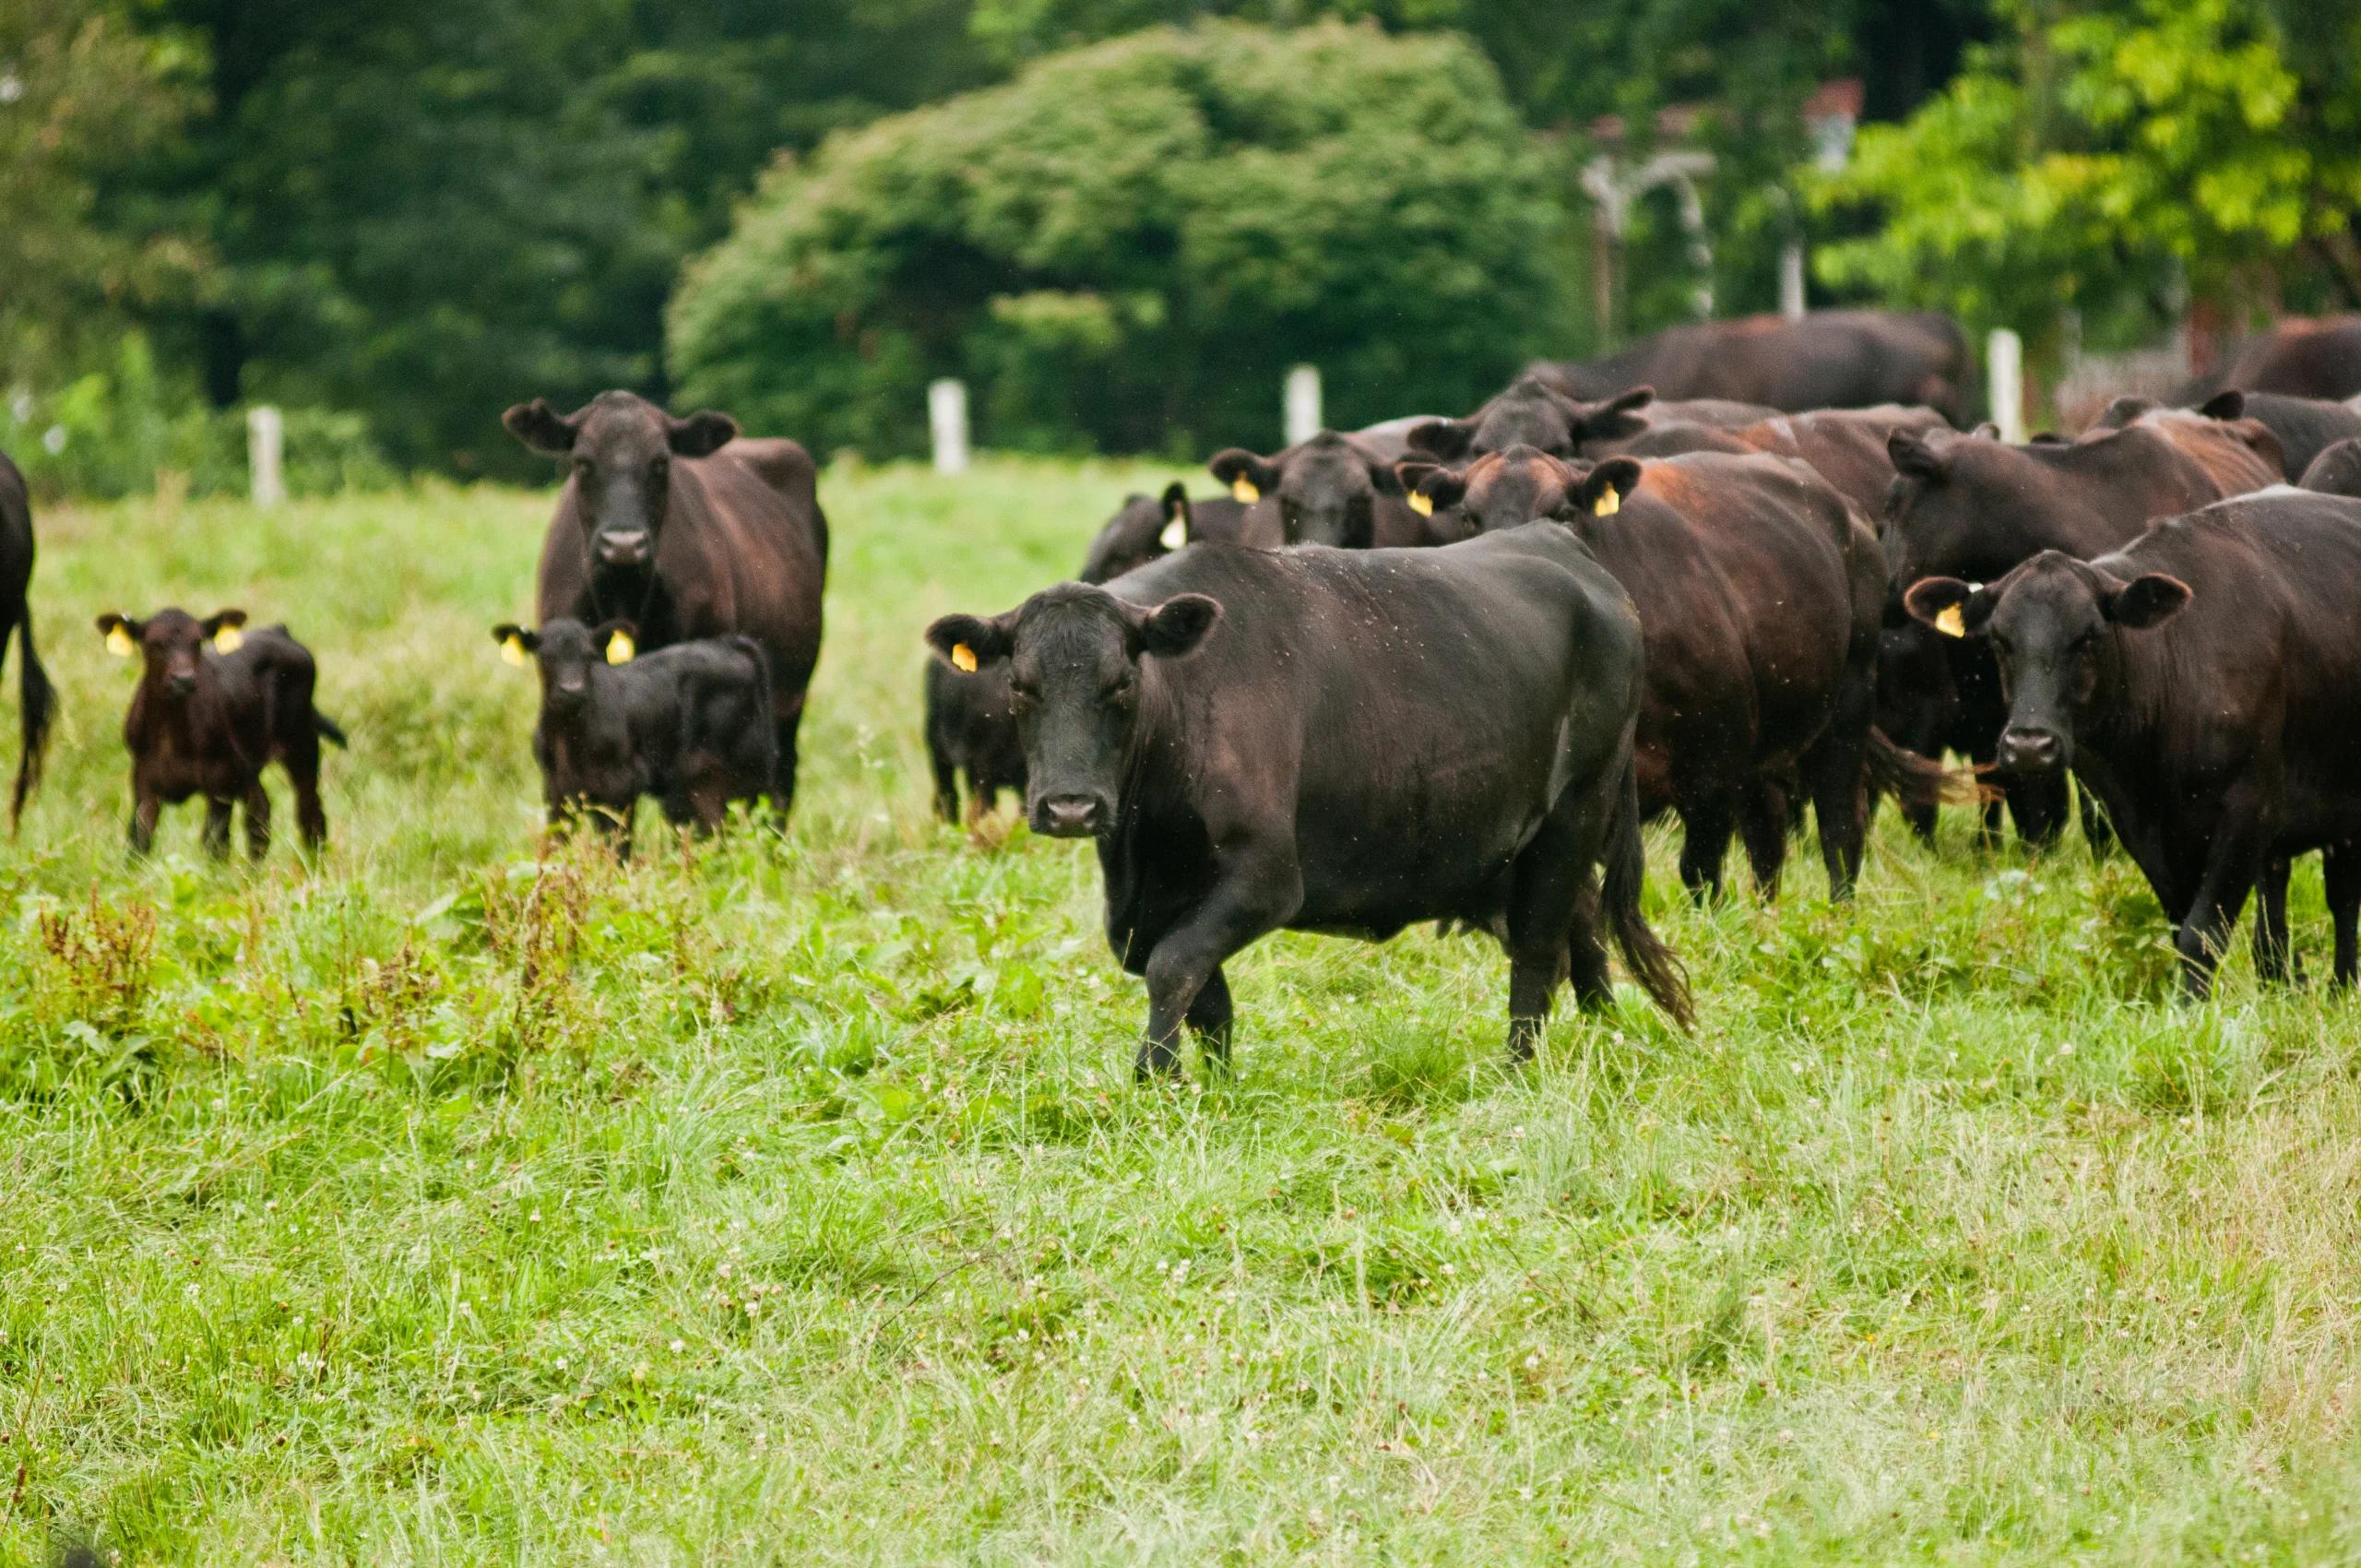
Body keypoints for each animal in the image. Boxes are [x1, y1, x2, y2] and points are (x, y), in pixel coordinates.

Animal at [94, 607, 345, 859]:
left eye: (197, 642)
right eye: (154, 643)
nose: (183, 679)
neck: (171, 735)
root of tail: (277, 631)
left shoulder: (221, 782)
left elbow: (215, 843)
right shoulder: (143, 780)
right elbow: (138, 841)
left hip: (301, 742)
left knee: (310, 811)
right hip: (249, 765)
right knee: (260, 812)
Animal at [493, 617, 775, 855]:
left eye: (589, 656)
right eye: (545, 656)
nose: (571, 690)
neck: (568, 739)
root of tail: (729, 644)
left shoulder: (621, 787)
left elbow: (617, 851)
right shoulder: (556, 792)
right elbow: (555, 846)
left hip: (739, 774)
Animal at [923, 529, 1694, 1074]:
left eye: (1122, 684)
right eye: (1020, 686)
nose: (1072, 808)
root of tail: (1562, 546)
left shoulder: (1268, 877)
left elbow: (1174, 967)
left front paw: (1154, 1077)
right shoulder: (1151, 899)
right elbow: (1203, 993)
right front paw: (1216, 1088)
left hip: (1577, 809)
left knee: (1538, 948)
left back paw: (1518, 1070)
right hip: (1513, 843)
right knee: (1581, 932)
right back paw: (1604, 1038)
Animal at [1393, 446, 1965, 899]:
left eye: (1562, 512)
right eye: (1469, 518)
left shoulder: (1714, 765)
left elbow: (1700, 873)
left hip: (1848, 700)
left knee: (1840, 827)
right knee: (1769, 836)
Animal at [1901, 490, 2361, 996]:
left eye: (2088, 638)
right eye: (2000, 641)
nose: (2029, 746)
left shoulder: (2248, 813)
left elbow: (2202, 933)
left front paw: (2190, 1007)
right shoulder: (2138, 824)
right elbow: (2181, 924)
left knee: (2342, 898)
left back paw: (2342, 984)